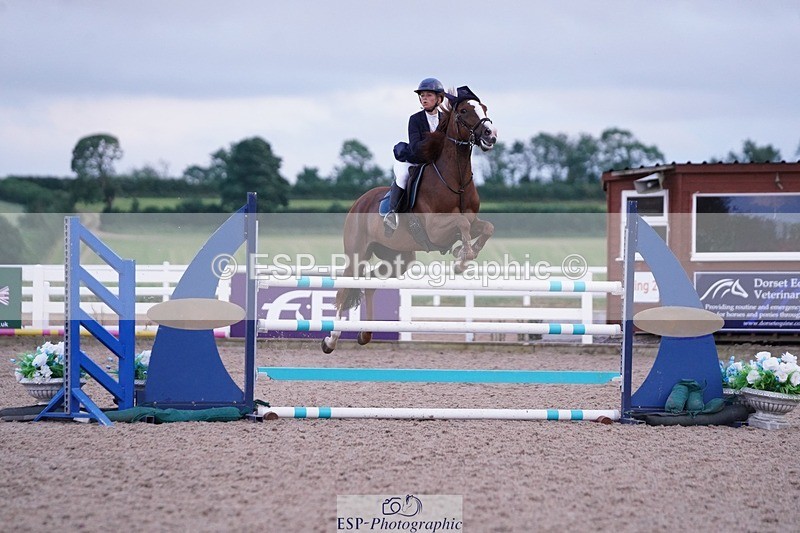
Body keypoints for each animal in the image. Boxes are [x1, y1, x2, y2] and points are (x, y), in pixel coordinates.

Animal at [321, 88, 498, 354]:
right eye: (465, 110)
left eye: (484, 108)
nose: (491, 135)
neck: (455, 179)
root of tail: (359, 201)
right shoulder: (436, 229)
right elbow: (462, 224)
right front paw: (462, 257)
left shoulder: (470, 220)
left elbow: (485, 227)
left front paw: (464, 254)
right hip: (357, 252)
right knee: (346, 287)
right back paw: (330, 339)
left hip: (398, 259)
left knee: (371, 283)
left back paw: (365, 333)